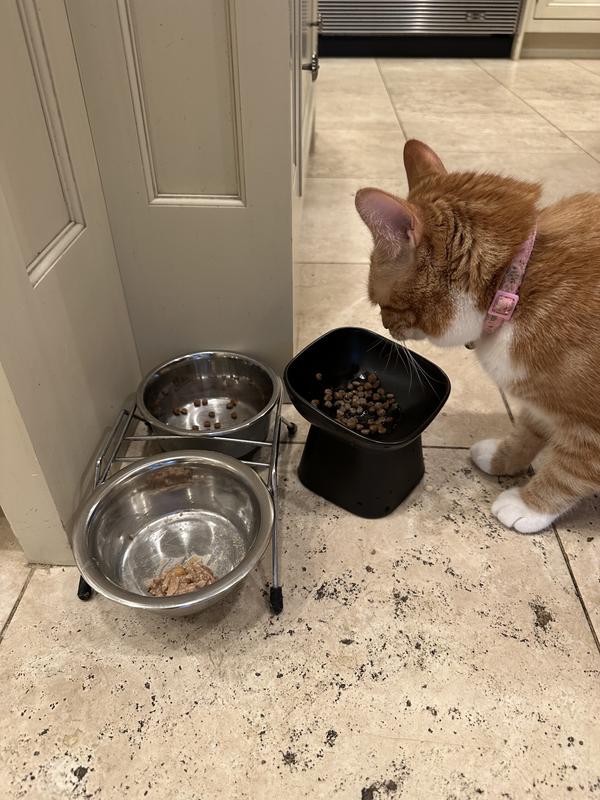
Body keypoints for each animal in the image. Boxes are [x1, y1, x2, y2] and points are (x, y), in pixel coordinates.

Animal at [355, 139, 600, 533]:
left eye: (380, 303)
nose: (383, 325)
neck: (512, 285)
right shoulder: (541, 399)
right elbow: (528, 430)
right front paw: (502, 458)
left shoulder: (589, 425)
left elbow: (569, 471)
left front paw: (528, 505)